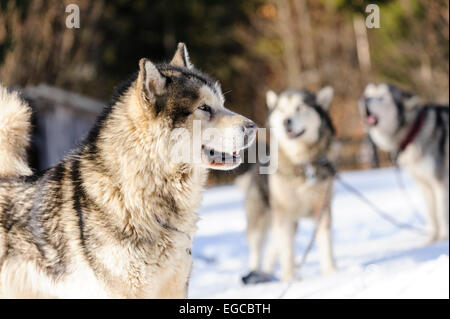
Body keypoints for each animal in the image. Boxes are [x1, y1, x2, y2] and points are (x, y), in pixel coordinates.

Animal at [243, 87, 338, 282]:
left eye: (300, 107)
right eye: (281, 109)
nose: (286, 121)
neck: (302, 164)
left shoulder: (322, 209)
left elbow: (325, 243)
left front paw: (330, 272)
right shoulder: (284, 214)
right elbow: (286, 251)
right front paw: (290, 278)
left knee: (272, 248)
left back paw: (266, 273)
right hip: (260, 219)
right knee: (257, 250)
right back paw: (255, 273)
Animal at [360, 84, 448, 244]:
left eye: (381, 97)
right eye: (368, 93)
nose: (363, 99)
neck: (414, 130)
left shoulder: (440, 181)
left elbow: (442, 212)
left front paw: (444, 237)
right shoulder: (424, 184)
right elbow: (432, 215)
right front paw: (431, 240)